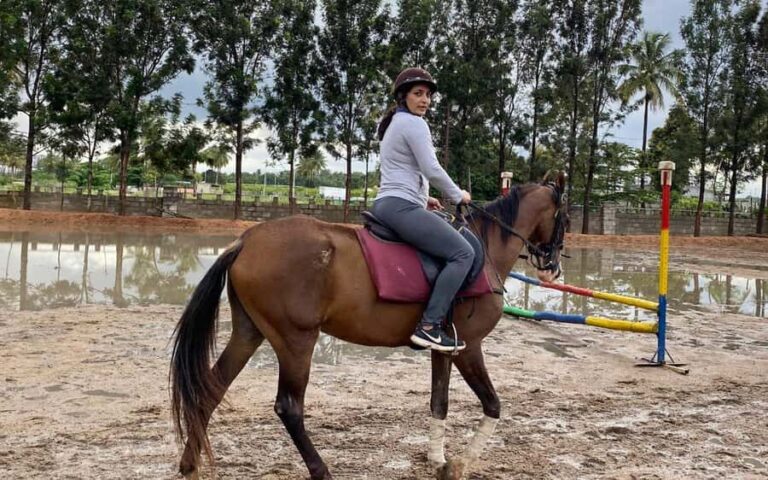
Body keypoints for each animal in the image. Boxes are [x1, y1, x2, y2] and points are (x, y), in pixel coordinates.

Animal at [170, 171, 568, 480]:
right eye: (564, 219)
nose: (553, 267)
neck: (484, 250)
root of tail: (246, 240)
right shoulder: (469, 347)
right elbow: (493, 404)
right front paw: (461, 463)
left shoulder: (444, 350)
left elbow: (439, 403)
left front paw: (437, 459)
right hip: (296, 340)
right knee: (289, 407)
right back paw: (321, 470)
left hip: (249, 332)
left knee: (211, 388)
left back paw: (189, 464)